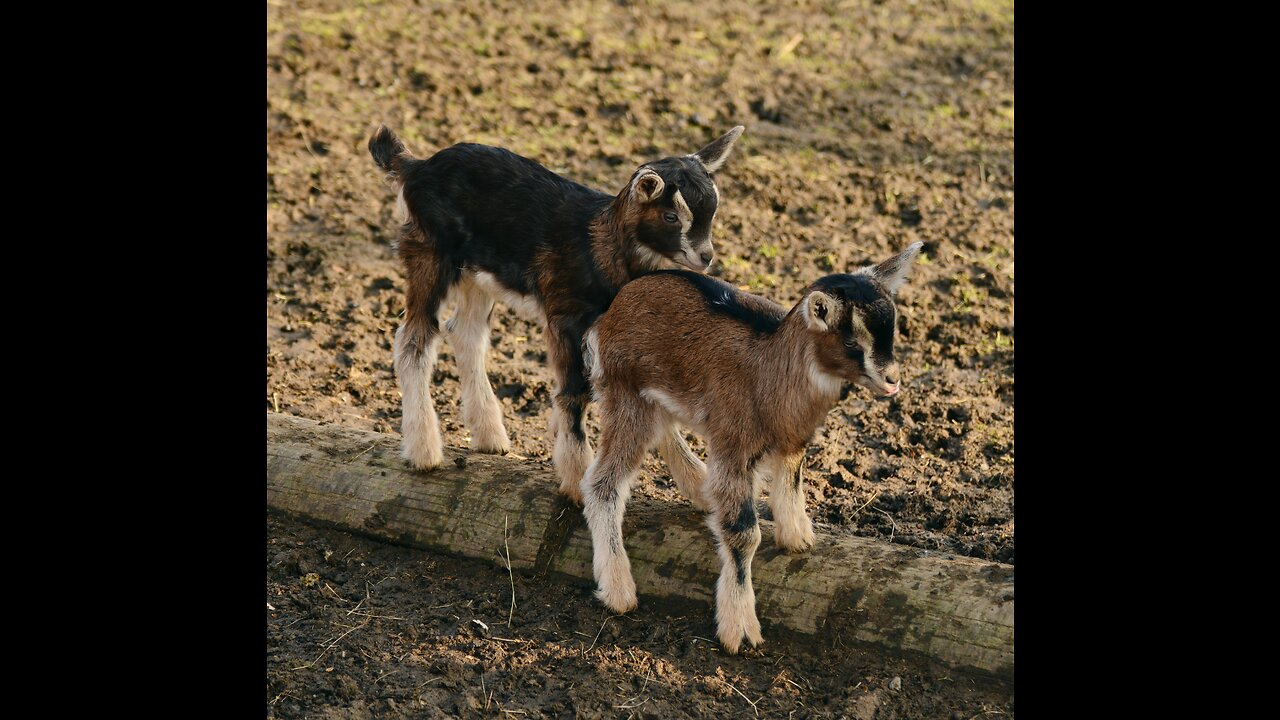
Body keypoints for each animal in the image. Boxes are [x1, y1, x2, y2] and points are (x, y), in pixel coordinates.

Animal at [371, 122, 747, 497]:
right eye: (671, 216)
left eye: (712, 211)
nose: (705, 257)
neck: (600, 248)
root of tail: (416, 167)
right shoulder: (566, 318)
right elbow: (574, 394)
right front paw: (576, 479)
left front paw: (696, 485)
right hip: (429, 253)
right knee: (414, 340)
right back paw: (424, 451)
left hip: (477, 274)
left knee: (466, 333)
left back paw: (490, 436)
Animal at [578, 239, 921, 650]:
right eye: (852, 340)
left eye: (893, 330)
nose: (892, 380)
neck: (769, 368)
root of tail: (611, 312)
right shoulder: (734, 446)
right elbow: (743, 532)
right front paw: (739, 629)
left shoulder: (792, 440)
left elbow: (791, 481)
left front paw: (797, 538)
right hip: (625, 394)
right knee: (602, 484)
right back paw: (618, 590)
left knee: (663, 431)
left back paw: (700, 488)